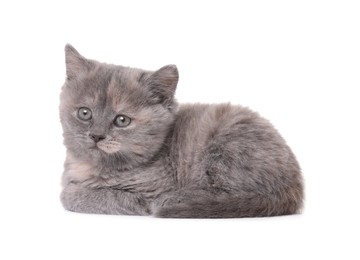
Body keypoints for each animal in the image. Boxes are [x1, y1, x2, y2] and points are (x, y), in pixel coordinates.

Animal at [59, 44, 304, 217]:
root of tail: (294, 186)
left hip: (226, 145)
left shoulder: (148, 191)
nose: (96, 136)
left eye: (122, 120)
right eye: (84, 113)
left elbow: (72, 195)